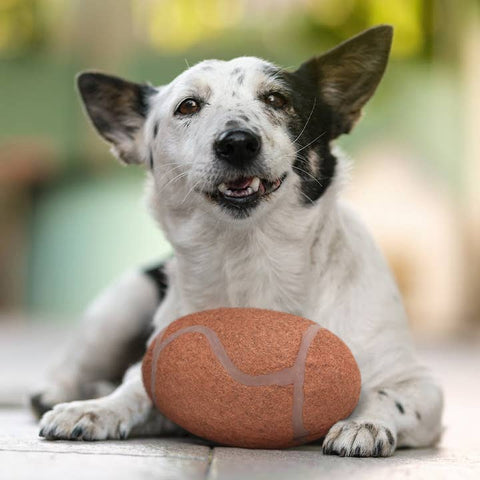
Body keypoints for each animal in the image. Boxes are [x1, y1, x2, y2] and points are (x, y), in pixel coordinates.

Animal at [31, 25, 442, 458]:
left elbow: (386, 395)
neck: (251, 261)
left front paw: (365, 423)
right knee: (69, 368)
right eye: (188, 106)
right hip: (121, 304)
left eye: (277, 99)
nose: (238, 142)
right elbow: (135, 388)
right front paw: (96, 408)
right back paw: (63, 391)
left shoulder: (420, 384)